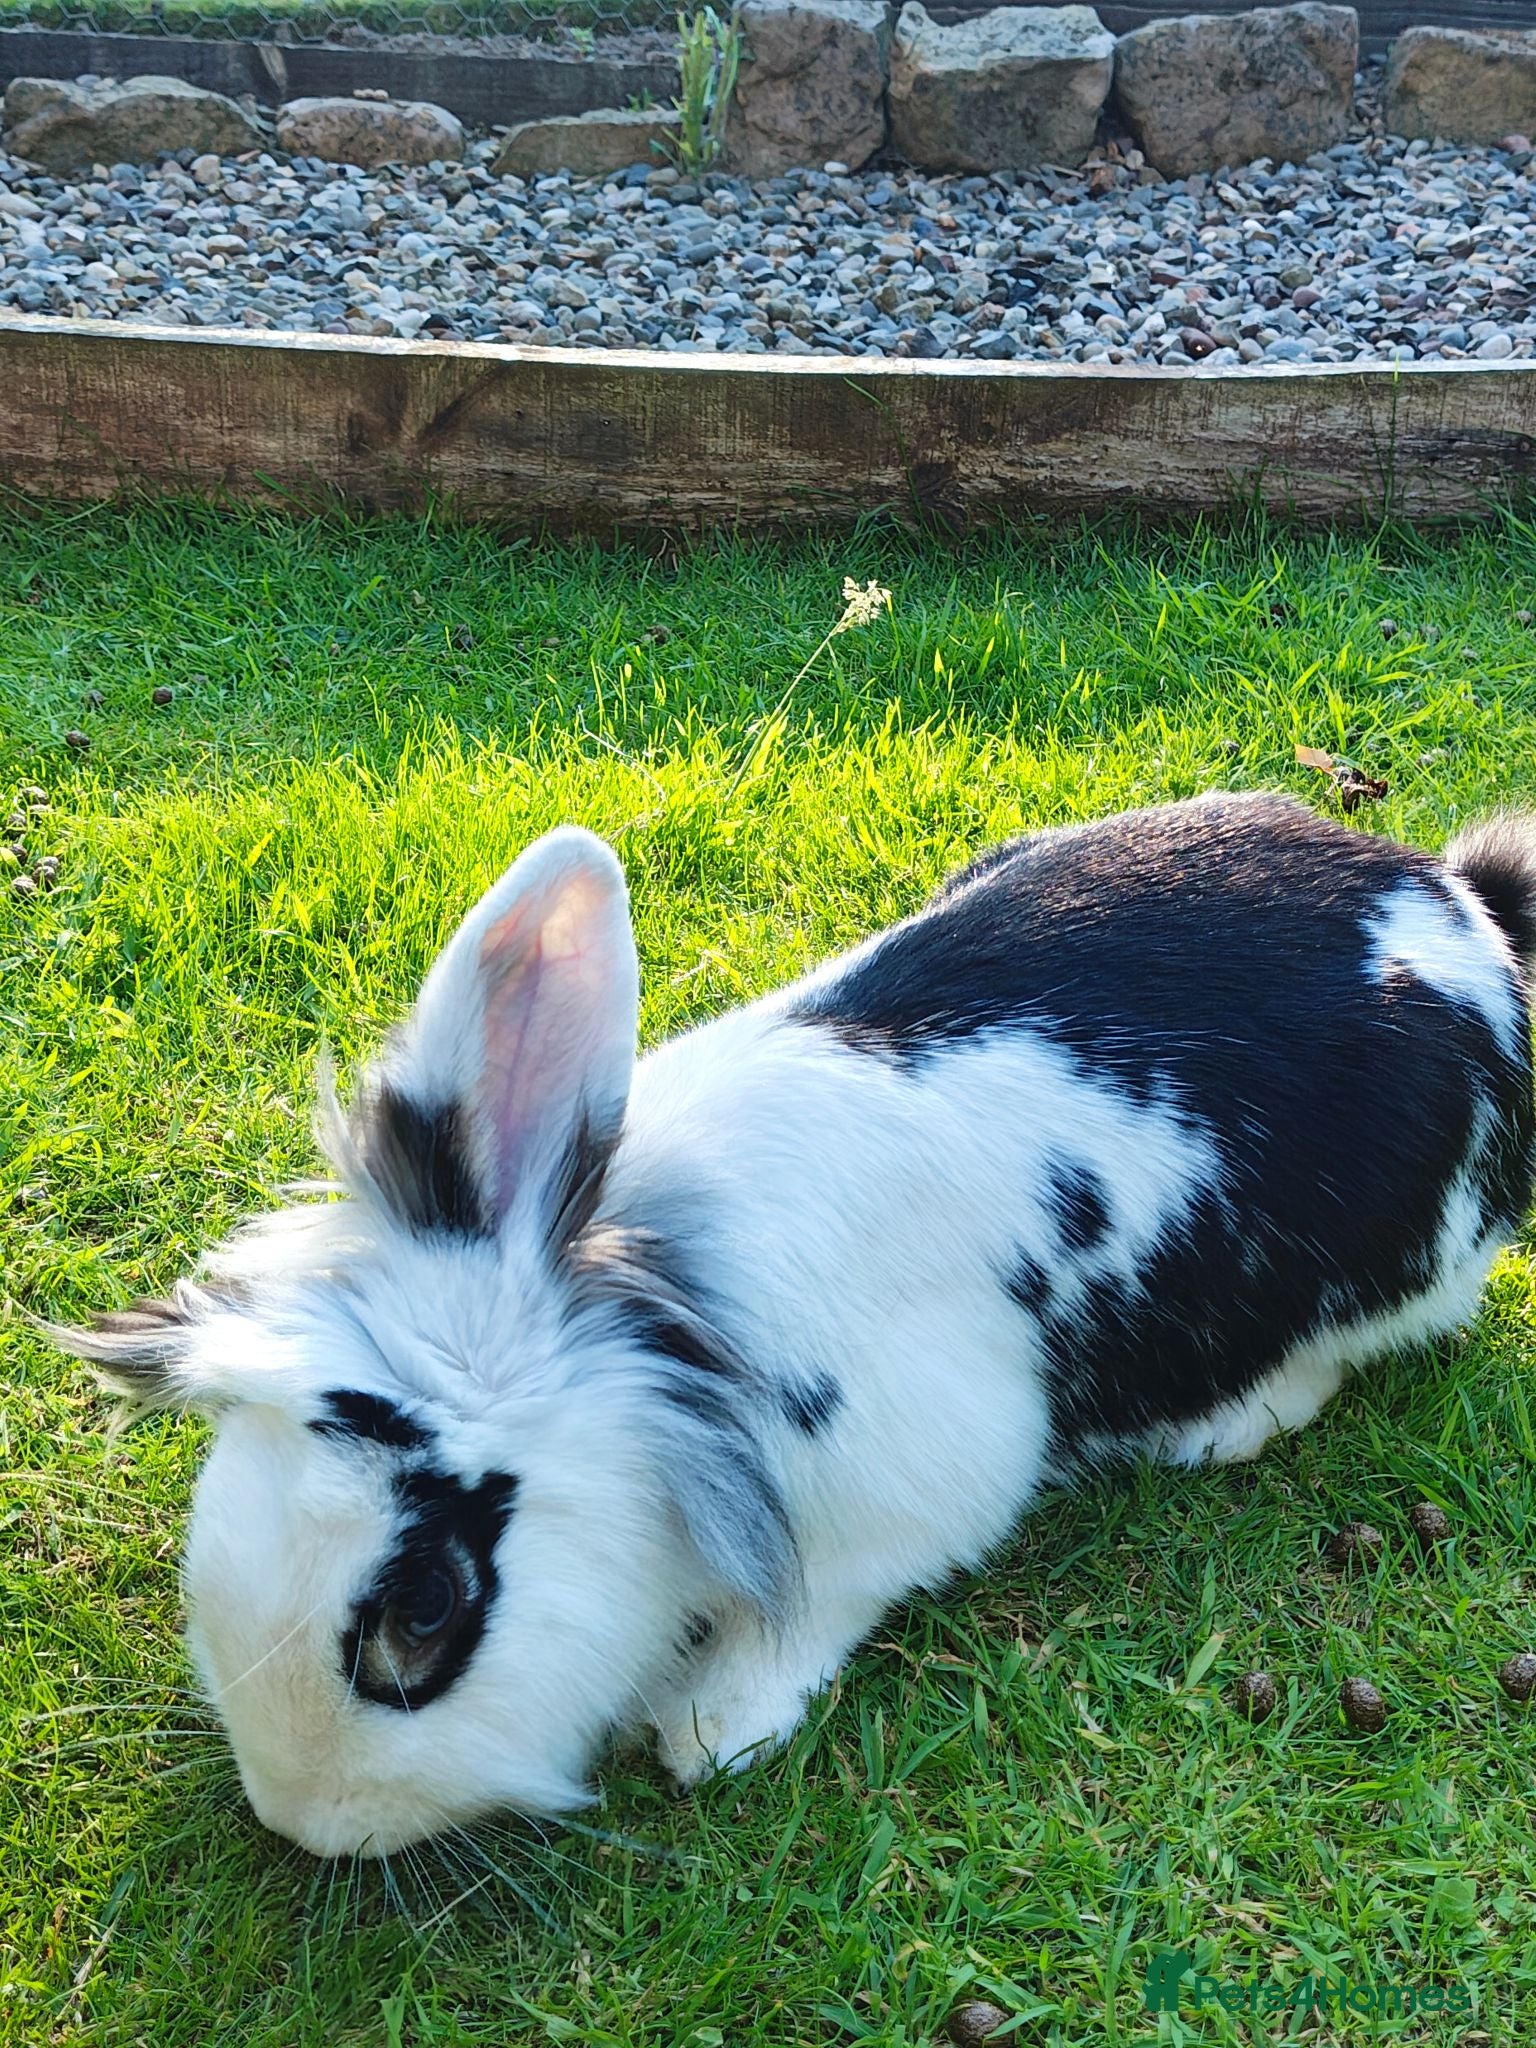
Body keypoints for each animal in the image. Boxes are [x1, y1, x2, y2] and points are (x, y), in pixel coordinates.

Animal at [52, 790, 1536, 1859]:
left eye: (422, 1613)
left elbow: (822, 1605)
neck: (672, 1325)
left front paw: (714, 1724)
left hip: (1407, 1254)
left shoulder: (918, 1486)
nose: (303, 1817)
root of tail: (1465, 914)